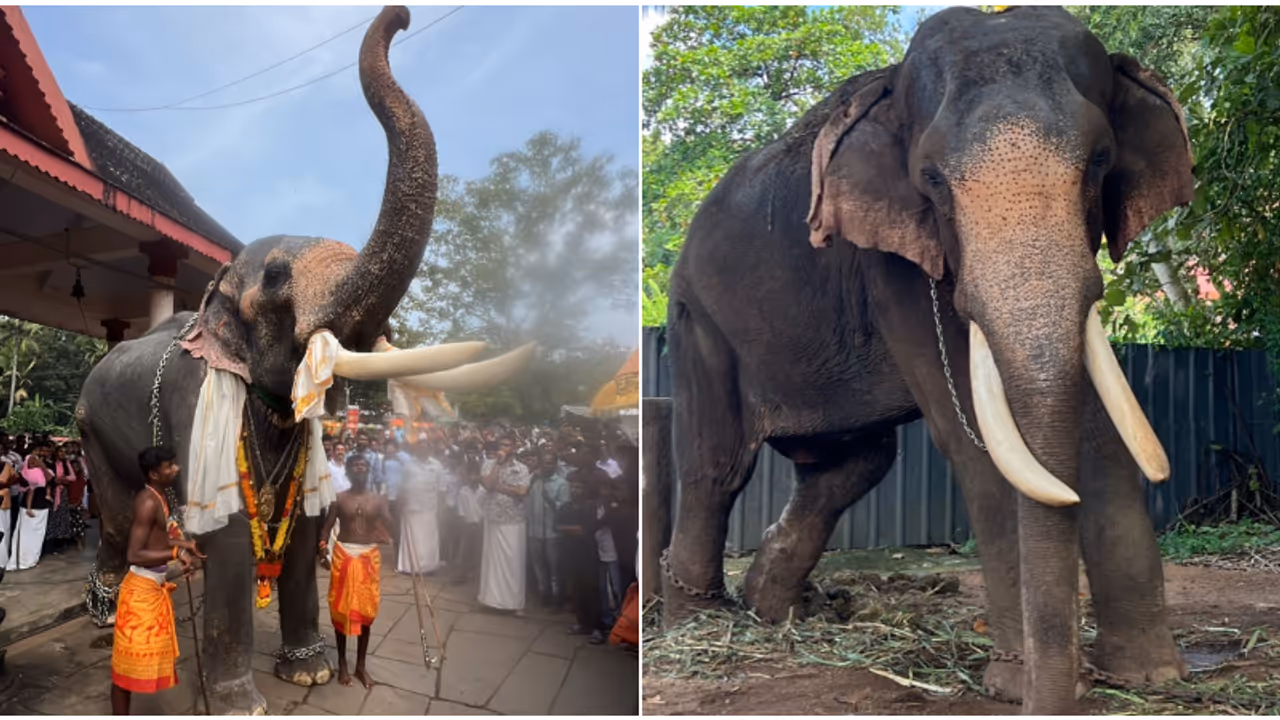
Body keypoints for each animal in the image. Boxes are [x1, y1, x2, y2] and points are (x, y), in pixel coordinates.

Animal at [75, 6, 531, 714]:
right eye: (277, 277)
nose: (401, 17)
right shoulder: (195, 400)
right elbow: (231, 527)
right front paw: (241, 703)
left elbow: (311, 516)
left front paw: (311, 673)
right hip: (90, 425)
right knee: (122, 514)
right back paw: (104, 615)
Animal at [661, 6, 1193, 715]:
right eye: (932, 180)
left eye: (1100, 160)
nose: (1058, 693)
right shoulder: (888, 258)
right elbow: (973, 439)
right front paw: (1015, 685)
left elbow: (1101, 432)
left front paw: (1151, 679)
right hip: (699, 320)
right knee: (717, 467)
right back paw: (698, 623)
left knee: (850, 466)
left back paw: (783, 612)